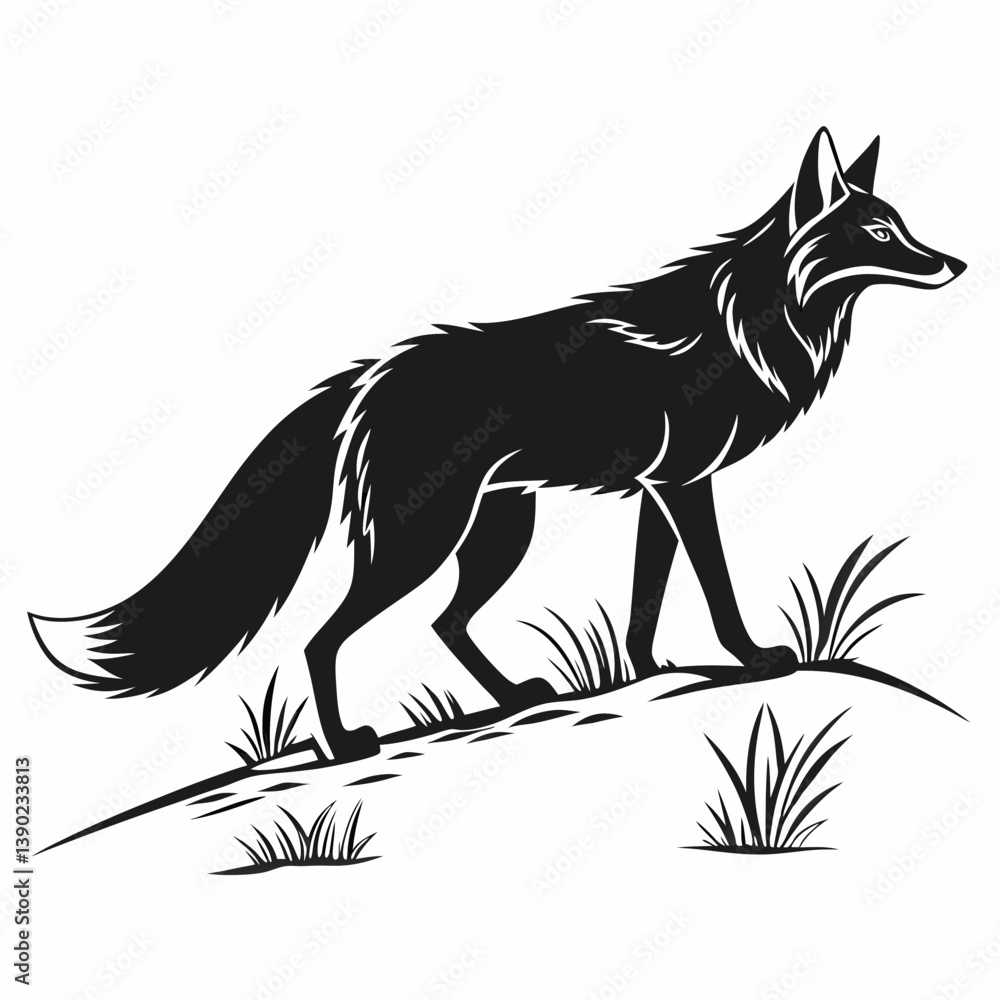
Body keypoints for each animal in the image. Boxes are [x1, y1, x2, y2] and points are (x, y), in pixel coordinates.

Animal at [30, 127, 966, 762]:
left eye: (902, 225)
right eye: (880, 234)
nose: (956, 264)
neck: (749, 326)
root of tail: (366, 377)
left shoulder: (659, 493)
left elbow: (646, 601)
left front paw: (647, 672)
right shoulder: (685, 488)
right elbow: (719, 590)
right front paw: (754, 661)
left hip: (497, 533)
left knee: (445, 623)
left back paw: (512, 696)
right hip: (423, 542)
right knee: (324, 638)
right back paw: (346, 742)